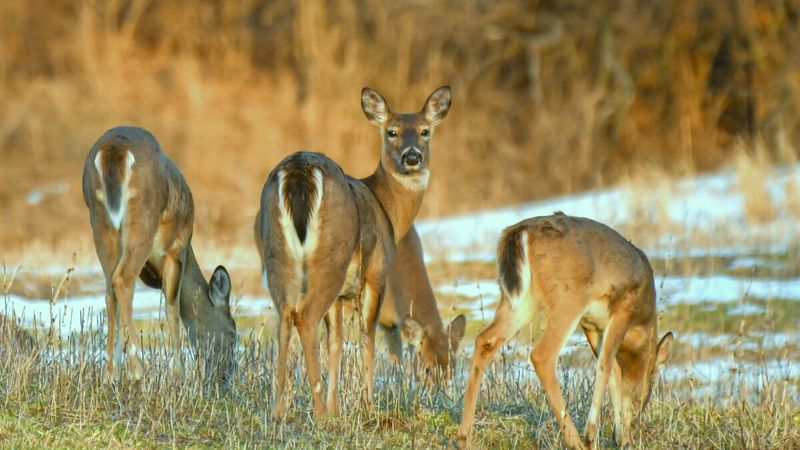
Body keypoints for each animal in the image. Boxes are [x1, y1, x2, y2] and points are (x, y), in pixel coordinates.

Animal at [82, 126, 237, 383]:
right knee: (122, 280)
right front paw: (179, 375)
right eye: (233, 333)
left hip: (100, 221)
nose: (225, 377)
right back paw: (138, 372)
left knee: (109, 290)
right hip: (143, 218)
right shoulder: (176, 249)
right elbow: (172, 307)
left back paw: (110, 375)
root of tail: (114, 149)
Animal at [254, 86, 451, 419]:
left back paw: (279, 409)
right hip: (331, 255)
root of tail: (297, 171)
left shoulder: (342, 295)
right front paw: (367, 405)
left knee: (284, 318)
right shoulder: (375, 274)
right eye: (391, 132)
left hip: (276, 252)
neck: (388, 209)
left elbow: (336, 342)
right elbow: (366, 340)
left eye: (425, 131)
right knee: (304, 318)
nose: (412, 156)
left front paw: (337, 408)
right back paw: (318, 411)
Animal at [457, 213, 673, 450]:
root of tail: (519, 231)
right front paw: (592, 436)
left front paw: (620, 437)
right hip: (567, 300)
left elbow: (614, 372)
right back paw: (575, 441)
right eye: (651, 384)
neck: (642, 325)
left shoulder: (591, 325)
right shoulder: (622, 310)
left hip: (520, 302)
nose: (638, 415)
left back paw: (464, 437)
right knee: (542, 355)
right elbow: (606, 366)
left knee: (485, 340)